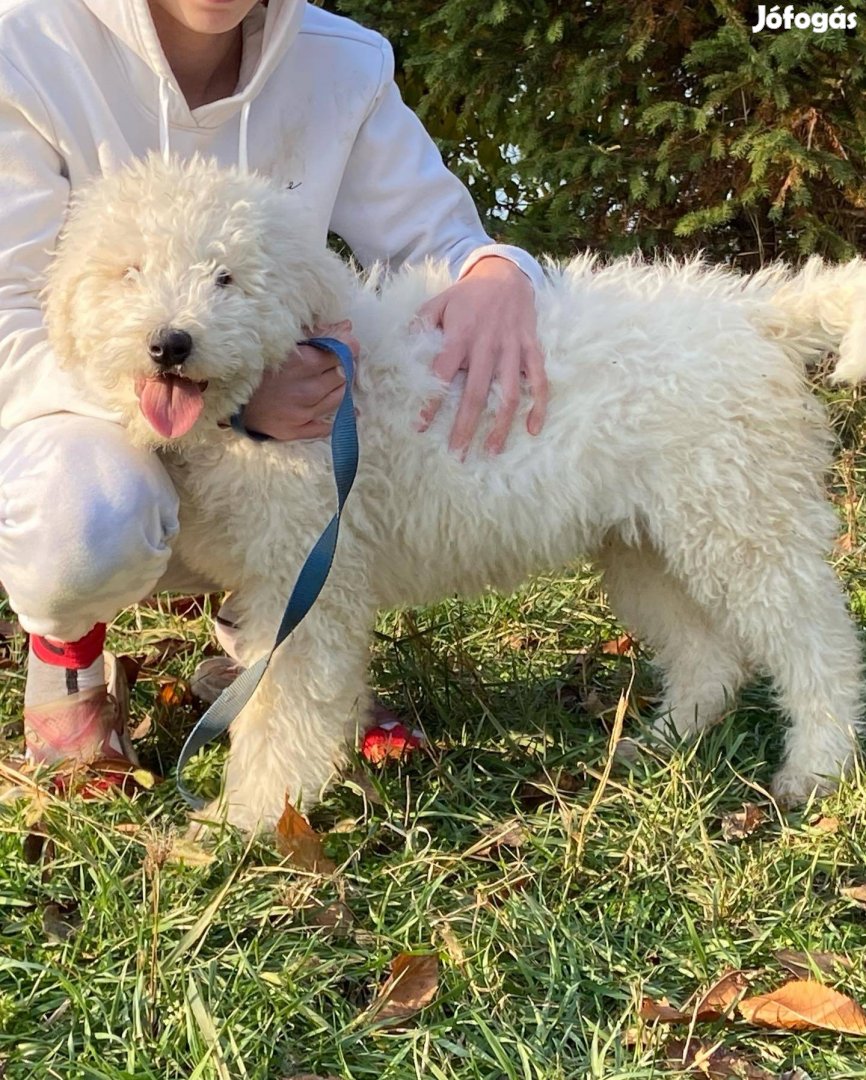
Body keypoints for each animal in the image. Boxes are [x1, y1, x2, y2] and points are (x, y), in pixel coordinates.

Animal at [45, 154, 863, 825]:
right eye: (130, 272)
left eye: (226, 277)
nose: (170, 343)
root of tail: (755, 311)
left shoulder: (308, 579)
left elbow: (283, 708)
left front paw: (247, 816)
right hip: (646, 542)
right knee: (710, 657)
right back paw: (660, 740)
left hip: (743, 521)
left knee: (818, 643)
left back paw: (816, 767)